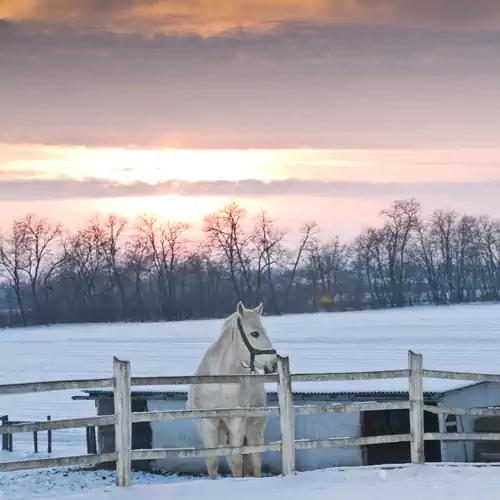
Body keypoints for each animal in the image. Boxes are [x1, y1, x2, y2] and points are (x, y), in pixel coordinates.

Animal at [187, 300, 280, 480]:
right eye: (255, 334)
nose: (273, 364)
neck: (218, 383)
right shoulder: (207, 424)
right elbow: (213, 463)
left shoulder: (236, 422)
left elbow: (237, 463)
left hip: (254, 428)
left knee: (255, 459)